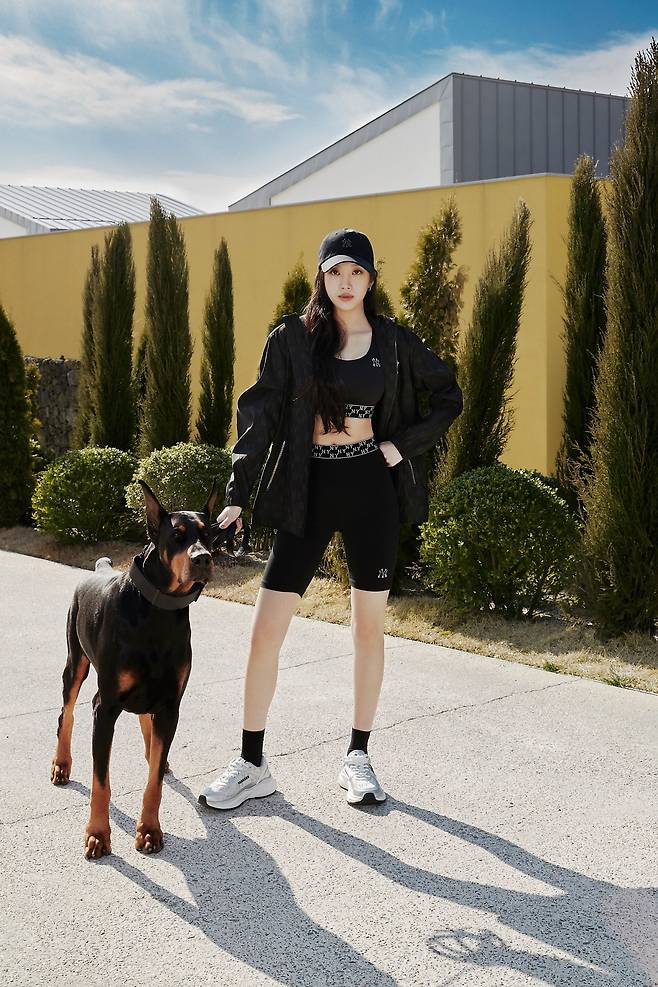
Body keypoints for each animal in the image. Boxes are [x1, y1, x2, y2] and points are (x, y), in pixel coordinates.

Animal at [50, 478, 223, 859]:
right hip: (75, 661)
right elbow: (101, 781)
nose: (203, 559)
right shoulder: (105, 707)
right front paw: (98, 834)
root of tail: (99, 569)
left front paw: (150, 830)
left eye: (210, 535)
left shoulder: (171, 705)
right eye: (177, 535)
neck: (158, 611)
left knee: (149, 730)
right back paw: (61, 764)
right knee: (66, 713)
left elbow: (154, 781)